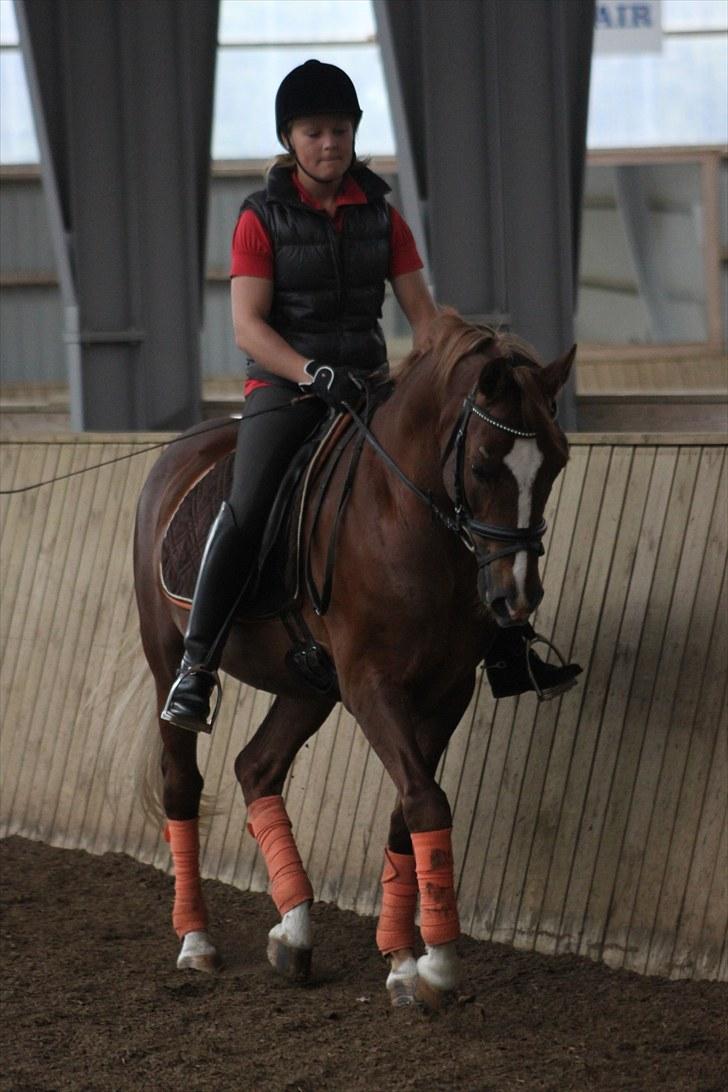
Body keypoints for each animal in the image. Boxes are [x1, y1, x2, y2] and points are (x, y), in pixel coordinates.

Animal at [133, 310, 571, 1004]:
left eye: (555, 462)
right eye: (481, 466)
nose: (516, 597)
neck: (406, 520)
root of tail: (178, 452)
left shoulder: (447, 691)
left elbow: (408, 808)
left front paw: (403, 961)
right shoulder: (371, 684)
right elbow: (425, 801)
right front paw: (437, 966)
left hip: (309, 683)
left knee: (257, 768)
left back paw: (293, 934)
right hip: (167, 654)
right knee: (182, 781)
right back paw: (197, 942)